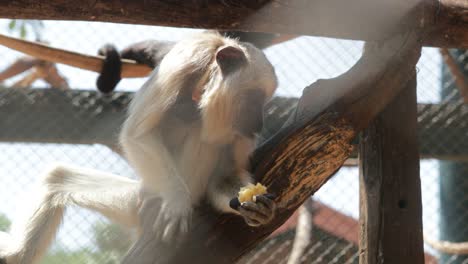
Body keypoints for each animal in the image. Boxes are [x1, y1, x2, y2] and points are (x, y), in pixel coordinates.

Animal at [0, 31, 278, 264]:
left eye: (264, 102)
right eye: (253, 98)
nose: (259, 123)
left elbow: (225, 175)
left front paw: (256, 207)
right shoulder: (187, 57)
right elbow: (137, 134)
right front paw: (177, 199)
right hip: (143, 197)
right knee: (56, 178)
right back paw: (14, 255)